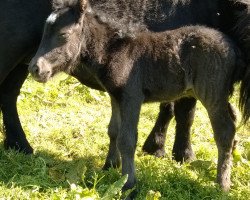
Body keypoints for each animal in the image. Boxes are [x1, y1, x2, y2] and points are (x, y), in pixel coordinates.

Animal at [28, 0, 250, 194]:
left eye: (63, 34)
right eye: (44, 32)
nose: (35, 68)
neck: (115, 50)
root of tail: (235, 49)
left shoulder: (131, 97)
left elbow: (127, 139)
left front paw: (128, 183)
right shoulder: (115, 96)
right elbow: (113, 131)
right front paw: (110, 165)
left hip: (212, 95)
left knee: (225, 132)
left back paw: (222, 185)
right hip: (220, 96)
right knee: (232, 121)